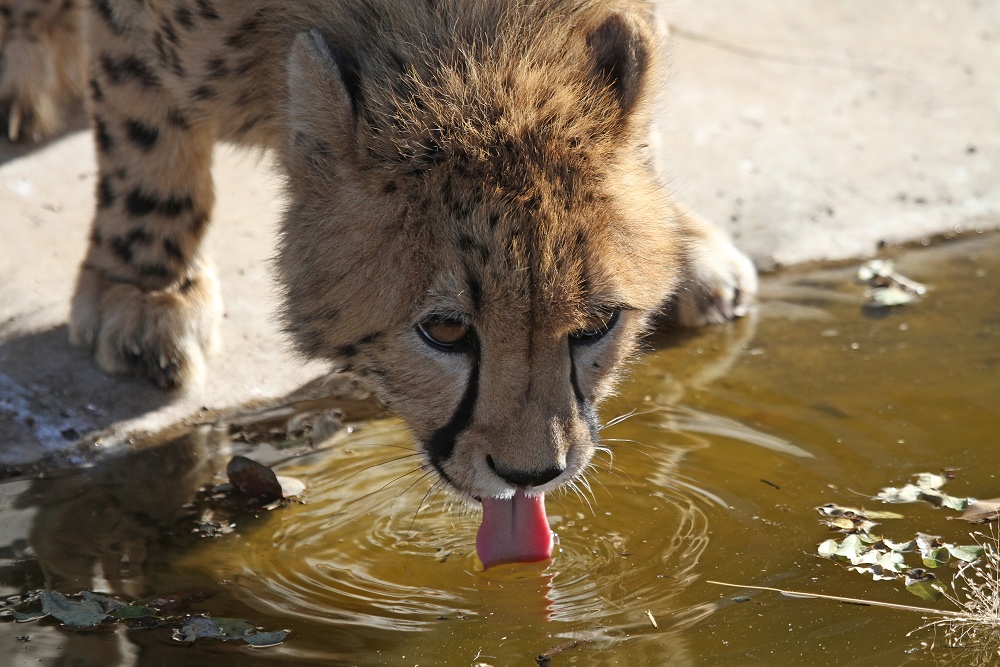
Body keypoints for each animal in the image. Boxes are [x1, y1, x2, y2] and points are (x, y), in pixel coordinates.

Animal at [1, 0, 756, 568]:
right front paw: (144, 290)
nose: (531, 475)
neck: (470, 39)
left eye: (597, 325)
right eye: (445, 330)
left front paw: (676, 234)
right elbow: (146, 128)